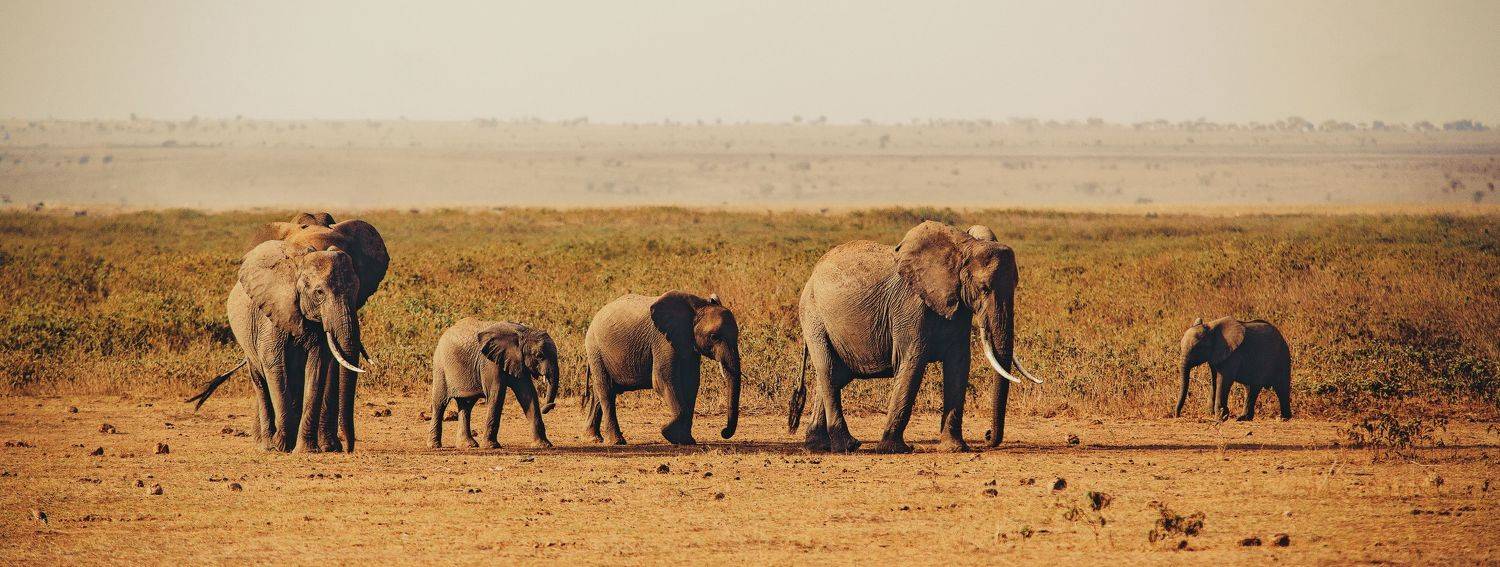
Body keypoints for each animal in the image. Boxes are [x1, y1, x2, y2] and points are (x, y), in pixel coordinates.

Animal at [187, 212, 387, 453]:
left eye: (356, 290)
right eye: (319, 292)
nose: (350, 449)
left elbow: (318, 366)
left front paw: (308, 449)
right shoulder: (273, 310)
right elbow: (275, 364)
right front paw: (282, 446)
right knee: (260, 380)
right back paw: (266, 443)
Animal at [428, 318, 559, 449]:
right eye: (539, 356)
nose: (549, 406)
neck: (524, 332)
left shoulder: (517, 360)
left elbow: (528, 394)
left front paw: (543, 445)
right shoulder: (489, 362)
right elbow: (496, 393)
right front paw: (491, 446)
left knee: (466, 405)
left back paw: (468, 445)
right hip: (440, 367)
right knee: (440, 403)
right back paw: (434, 445)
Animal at [581, 291, 742, 445]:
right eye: (714, 337)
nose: (723, 432)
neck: (697, 306)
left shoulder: (688, 343)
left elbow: (691, 383)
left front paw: (686, 440)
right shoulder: (662, 340)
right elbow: (663, 380)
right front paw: (668, 433)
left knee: (600, 392)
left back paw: (593, 438)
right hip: (595, 349)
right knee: (606, 390)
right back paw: (616, 442)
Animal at [786, 221, 1042, 454]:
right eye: (984, 288)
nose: (987, 435)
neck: (961, 247)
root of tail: (812, 275)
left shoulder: (958, 306)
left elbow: (959, 365)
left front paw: (955, 448)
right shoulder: (910, 306)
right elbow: (912, 362)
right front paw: (893, 449)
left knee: (835, 376)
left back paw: (817, 445)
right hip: (813, 316)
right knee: (828, 370)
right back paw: (847, 446)